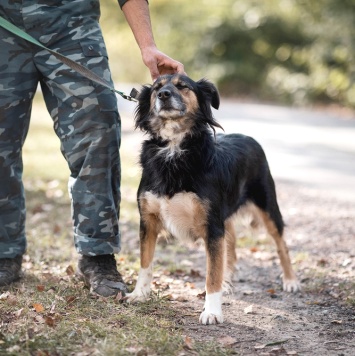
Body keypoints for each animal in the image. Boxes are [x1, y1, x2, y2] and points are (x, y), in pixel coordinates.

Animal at [126, 73, 302, 324]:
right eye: (156, 88)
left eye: (182, 86)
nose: (163, 95)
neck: (174, 150)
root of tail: (249, 137)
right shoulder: (148, 221)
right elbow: (145, 262)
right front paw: (139, 294)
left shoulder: (212, 225)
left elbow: (211, 274)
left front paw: (212, 311)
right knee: (231, 248)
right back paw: (228, 279)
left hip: (268, 208)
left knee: (281, 245)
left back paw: (290, 280)